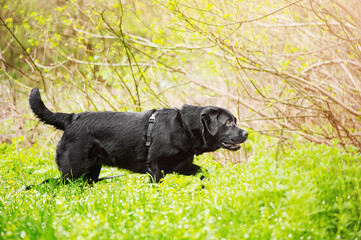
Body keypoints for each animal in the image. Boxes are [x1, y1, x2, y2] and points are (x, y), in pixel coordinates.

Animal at [28, 87, 248, 187]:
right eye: (228, 123)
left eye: (234, 121)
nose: (246, 133)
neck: (183, 127)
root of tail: (71, 118)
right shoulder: (155, 168)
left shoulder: (180, 166)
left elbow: (204, 171)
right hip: (74, 171)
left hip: (90, 173)